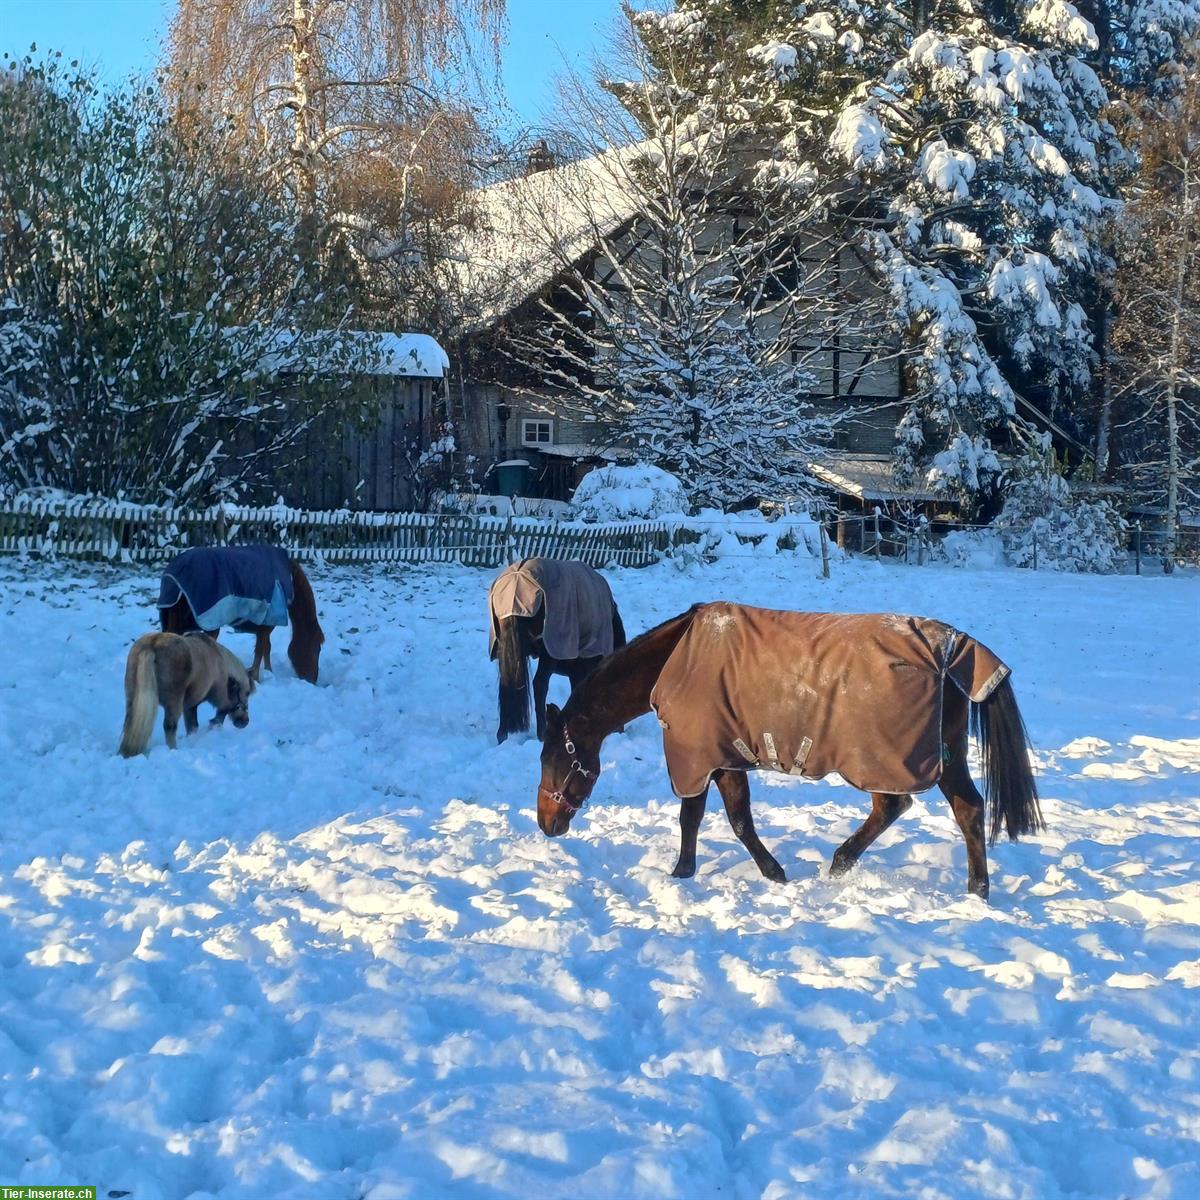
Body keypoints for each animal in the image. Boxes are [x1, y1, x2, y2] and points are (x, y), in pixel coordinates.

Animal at [119, 633, 253, 753]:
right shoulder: (219, 697)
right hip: (173, 704)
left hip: (132, 700)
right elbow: (222, 712)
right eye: (246, 693)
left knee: (129, 723)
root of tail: (151, 645)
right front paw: (213, 726)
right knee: (169, 726)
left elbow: (192, 726)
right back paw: (173, 749)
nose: (244, 722)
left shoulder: (190, 707)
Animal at [492, 559, 633, 739]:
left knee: (508, 683)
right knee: (539, 684)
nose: (620, 729)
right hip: (549, 652)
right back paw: (542, 733)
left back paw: (502, 734)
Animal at [540, 600, 1046, 902]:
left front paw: (764, 872)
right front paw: (687, 871)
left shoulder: (705, 757)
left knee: (901, 805)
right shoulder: (718, 758)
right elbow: (704, 818)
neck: (676, 661)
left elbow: (727, 820)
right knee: (963, 808)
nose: (547, 824)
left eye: (555, 758)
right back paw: (974, 890)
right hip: (939, 756)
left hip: (889, 760)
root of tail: (952, 646)